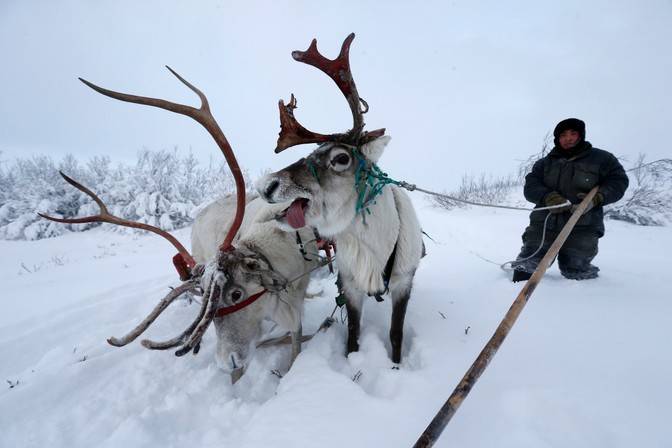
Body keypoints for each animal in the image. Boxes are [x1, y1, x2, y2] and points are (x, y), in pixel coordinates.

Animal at [39, 67, 326, 381]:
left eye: (237, 293)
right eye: (212, 308)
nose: (226, 362)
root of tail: (198, 215)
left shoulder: (295, 300)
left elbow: (295, 342)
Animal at [257, 33, 425, 365]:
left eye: (341, 157)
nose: (266, 185)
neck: (376, 249)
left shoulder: (404, 281)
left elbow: (396, 333)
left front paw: (396, 365)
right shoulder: (349, 284)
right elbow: (353, 334)